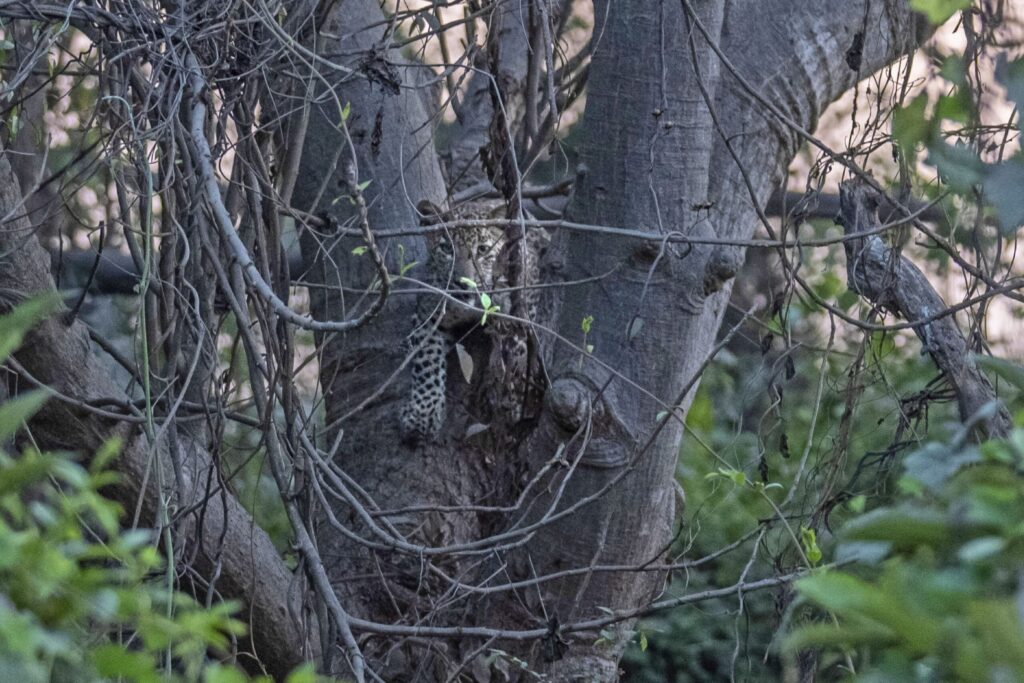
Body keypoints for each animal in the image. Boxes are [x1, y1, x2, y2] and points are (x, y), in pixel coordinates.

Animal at [399, 197, 546, 444]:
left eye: (483, 250)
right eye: (447, 249)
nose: (462, 282)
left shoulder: (526, 288)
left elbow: (517, 343)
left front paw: (514, 398)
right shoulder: (429, 315)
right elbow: (427, 364)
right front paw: (422, 416)